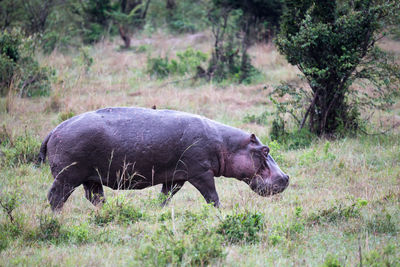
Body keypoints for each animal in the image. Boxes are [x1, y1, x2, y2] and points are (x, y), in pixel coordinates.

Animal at [39, 107, 290, 211]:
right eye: (265, 150)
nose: (286, 177)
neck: (226, 144)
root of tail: (54, 130)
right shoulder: (200, 172)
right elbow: (212, 195)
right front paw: (222, 212)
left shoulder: (177, 177)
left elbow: (166, 196)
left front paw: (157, 210)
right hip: (68, 176)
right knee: (55, 197)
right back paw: (55, 217)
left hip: (90, 178)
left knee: (95, 198)